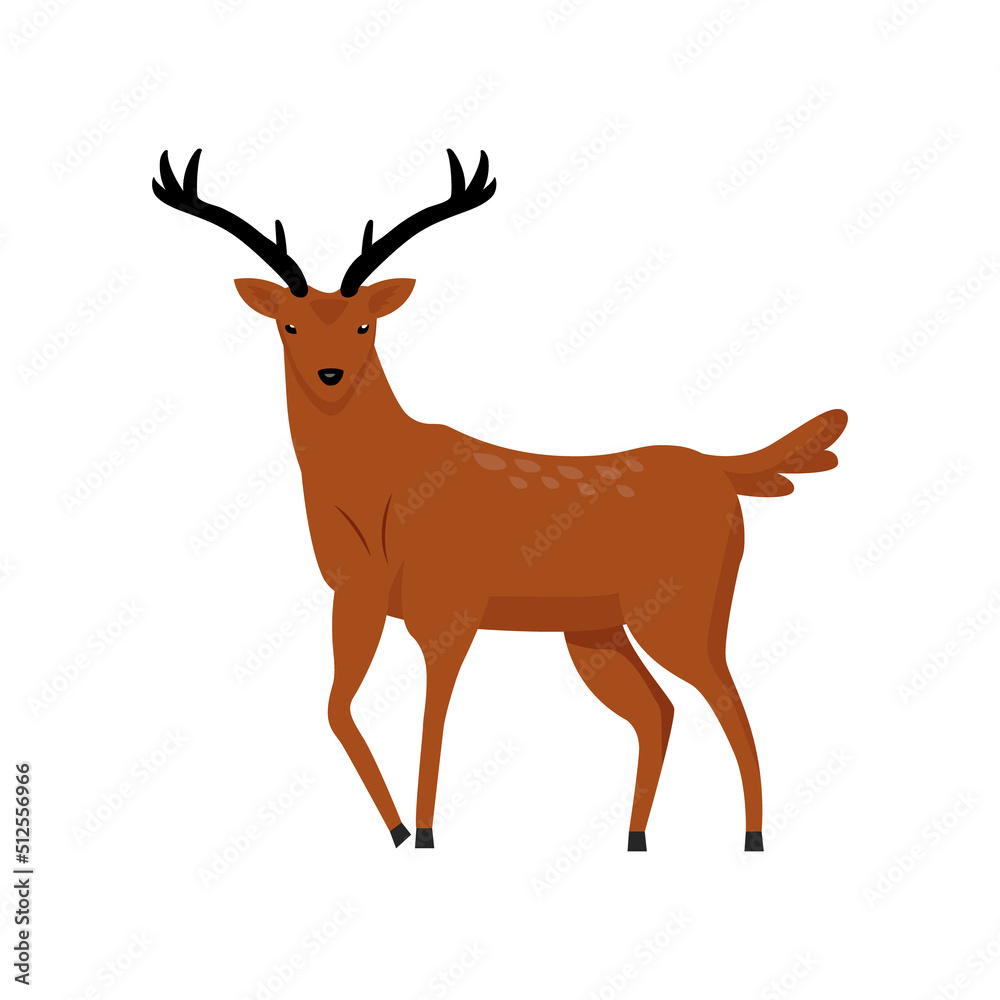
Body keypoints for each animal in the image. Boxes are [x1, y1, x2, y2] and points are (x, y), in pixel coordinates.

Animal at [153, 147, 846, 853]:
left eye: (365, 322)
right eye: (288, 325)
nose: (330, 373)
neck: (380, 492)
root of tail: (723, 471)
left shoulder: (449, 601)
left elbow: (432, 717)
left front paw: (426, 832)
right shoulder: (354, 595)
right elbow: (335, 707)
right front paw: (398, 829)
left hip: (684, 605)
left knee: (731, 701)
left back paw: (752, 838)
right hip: (596, 630)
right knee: (659, 710)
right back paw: (636, 839)